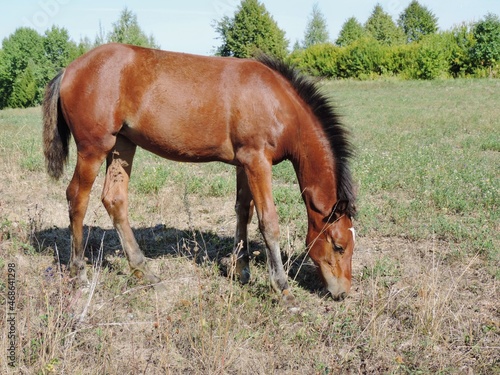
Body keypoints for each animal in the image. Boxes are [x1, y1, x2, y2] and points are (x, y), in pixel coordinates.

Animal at [43, 43, 356, 306]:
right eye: (339, 246)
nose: (342, 293)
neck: (276, 102)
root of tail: (69, 69)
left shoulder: (244, 162)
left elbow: (243, 211)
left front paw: (241, 269)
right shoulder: (257, 160)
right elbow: (268, 222)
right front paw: (282, 288)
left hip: (122, 145)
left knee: (114, 200)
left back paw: (145, 272)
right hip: (93, 149)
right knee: (77, 198)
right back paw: (79, 272)